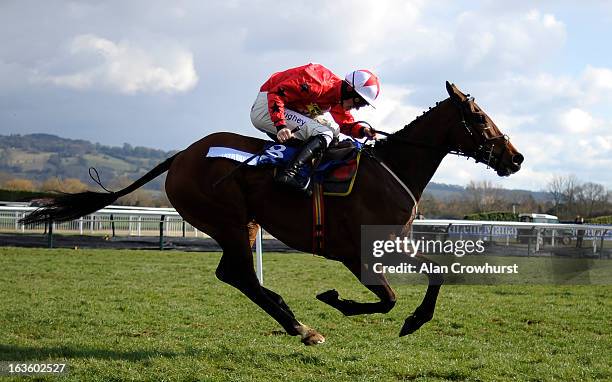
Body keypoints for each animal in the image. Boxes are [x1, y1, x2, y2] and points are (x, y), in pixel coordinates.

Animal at [22, 83, 520, 346]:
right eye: (479, 118)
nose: (515, 158)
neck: (391, 170)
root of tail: (182, 155)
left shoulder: (394, 240)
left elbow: (437, 272)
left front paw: (414, 320)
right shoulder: (356, 251)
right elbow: (388, 298)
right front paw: (336, 300)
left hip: (241, 223)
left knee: (235, 275)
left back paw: (294, 320)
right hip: (225, 218)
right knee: (240, 275)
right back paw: (301, 325)